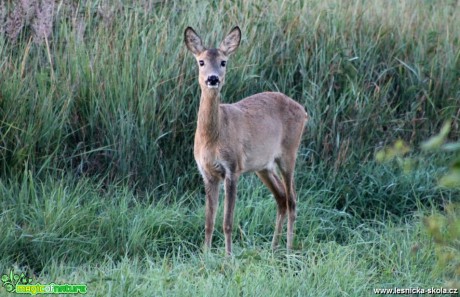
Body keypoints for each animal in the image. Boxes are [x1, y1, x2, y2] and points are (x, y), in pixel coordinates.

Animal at [184, 24, 310, 254]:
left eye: (223, 62)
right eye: (201, 61)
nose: (213, 79)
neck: (213, 138)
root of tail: (303, 110)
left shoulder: (232, 168)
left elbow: (227, 221)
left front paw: (228, 257)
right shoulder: (207, 172)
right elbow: (208, 221)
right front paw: (205, 256)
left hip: (289, 154)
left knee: (292, 199)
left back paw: (288, 249)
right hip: (263, 166)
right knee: (281, 198)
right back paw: (273, 248)